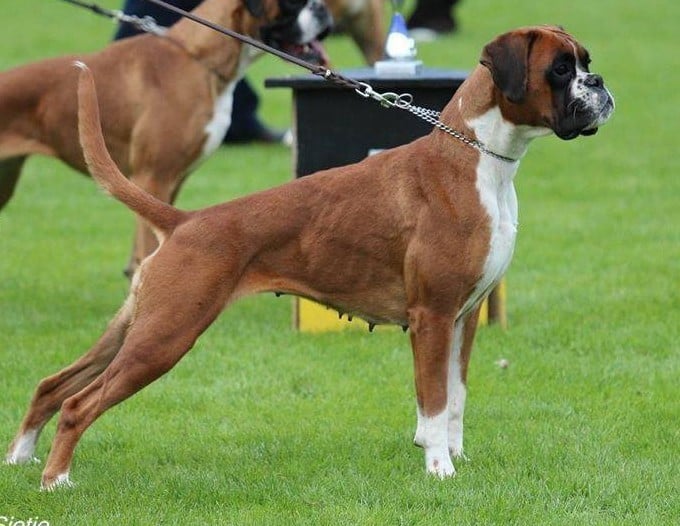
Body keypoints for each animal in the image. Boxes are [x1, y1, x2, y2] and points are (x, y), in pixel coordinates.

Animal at [0, 0, 331, 277]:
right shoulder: (153, 178)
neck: (197, 57)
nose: (322, 8)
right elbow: (148, 248)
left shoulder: (171, 182)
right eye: (292, 3)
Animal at [6, 26, 613, 489]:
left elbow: (456, 397)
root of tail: (185, 220)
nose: (600, 83)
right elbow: (435, 401)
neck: (479, 158)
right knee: (79, 404)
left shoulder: (465, 319)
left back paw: (20, 458)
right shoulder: (433, 318)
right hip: (165, 337)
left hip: (136, 328)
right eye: (561, 69)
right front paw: (440, 470)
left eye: (584, 63)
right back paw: (56, 480)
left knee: (53, 385)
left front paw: (456, 457)